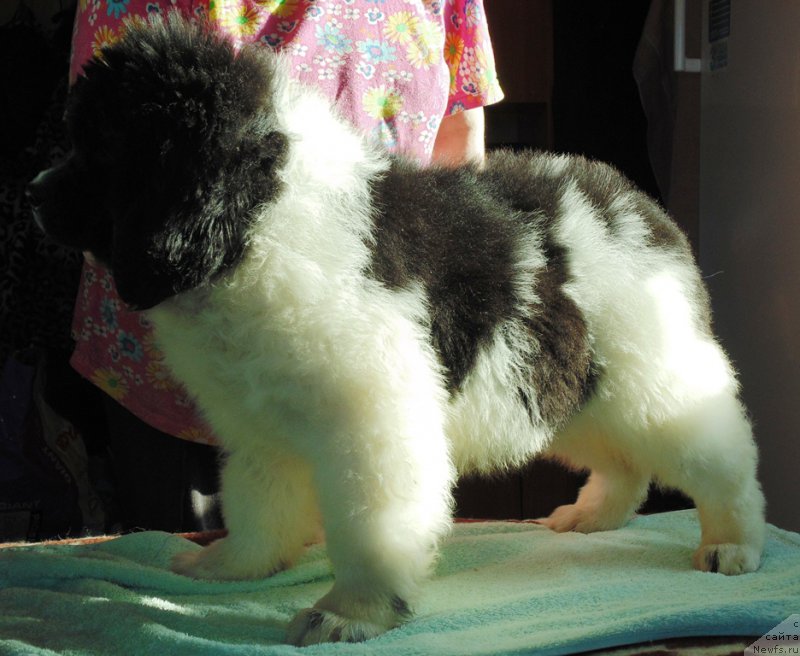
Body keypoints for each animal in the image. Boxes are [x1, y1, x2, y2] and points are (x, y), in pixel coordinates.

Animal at [29, 15, 768, 644]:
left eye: (101, 148)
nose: (32, 193)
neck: (259, 221)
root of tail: (640, 206)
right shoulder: (260, 423)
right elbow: (258, 502)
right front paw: (234, 567)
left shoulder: (370, 421)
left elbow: (372, 526)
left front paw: (351, 612)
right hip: (575, 382)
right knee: (625, 459)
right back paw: (593, 517)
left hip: (651, 375)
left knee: (719, 456)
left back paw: (733, 541)